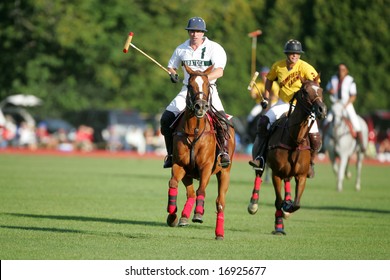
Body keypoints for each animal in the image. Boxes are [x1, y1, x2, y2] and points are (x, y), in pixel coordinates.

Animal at [165, 64, 235, 241]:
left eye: (208, 85)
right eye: (190, 86)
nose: (201, 106)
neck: (194, 131)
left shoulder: (206, 166)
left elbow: (201, 190)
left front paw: (198, 213)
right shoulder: (179, 165)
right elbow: (173, 183)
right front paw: (172, 214)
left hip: (224, 172)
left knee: (220, 202)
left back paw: (219, 233)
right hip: (188, 173)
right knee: (190, 193)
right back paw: (183, 217)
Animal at [247, 76, 326, 234]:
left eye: (320, 90)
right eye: (305, 92)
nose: (322, 110)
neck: (294, 140)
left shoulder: (301, 175)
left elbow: (297, 204)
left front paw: (288, 206)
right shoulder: (276, 174)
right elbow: (278, 201)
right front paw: (279, 226)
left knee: (288, 180)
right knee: (259, 172)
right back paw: (253, 204)